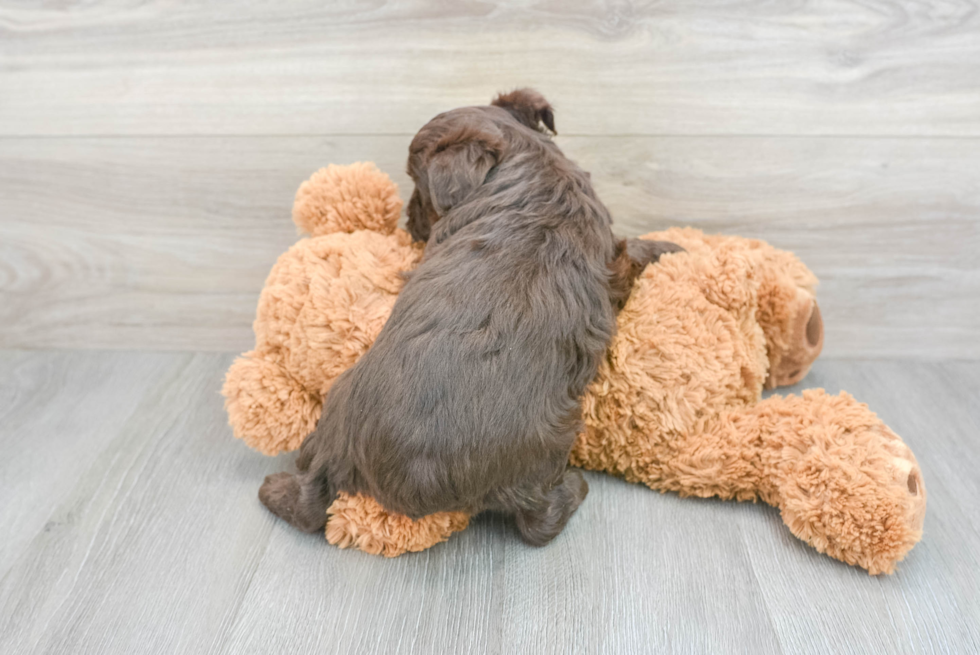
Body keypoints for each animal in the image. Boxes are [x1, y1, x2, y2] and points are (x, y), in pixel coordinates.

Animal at [260, 89, 680, 544]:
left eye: (417, 186)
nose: (409, 221)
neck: (532, 164)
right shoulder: (612, 257)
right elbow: (632, 250)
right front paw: (669, 247)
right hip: (546, 450)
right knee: (541, 523)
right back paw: (575, 487)